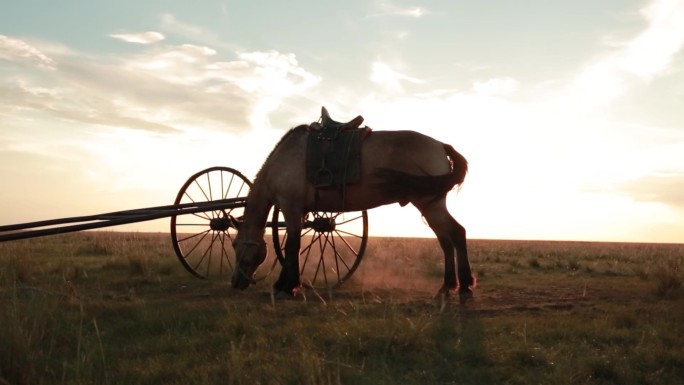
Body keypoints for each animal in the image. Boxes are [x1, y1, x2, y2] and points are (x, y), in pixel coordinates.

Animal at [231, 107, 476, 296]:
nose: (235, 282)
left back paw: (464, 284)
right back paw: (448, 285)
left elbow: (292, 245)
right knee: (446, 240)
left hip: (429, 204)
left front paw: (287, 286)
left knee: (456, 233)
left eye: (235, 244)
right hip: (430, 204)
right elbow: (292, 246)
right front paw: (285, 283)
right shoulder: (299, 211)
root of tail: (441, 145)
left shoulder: (290, 206)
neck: (281, 160)